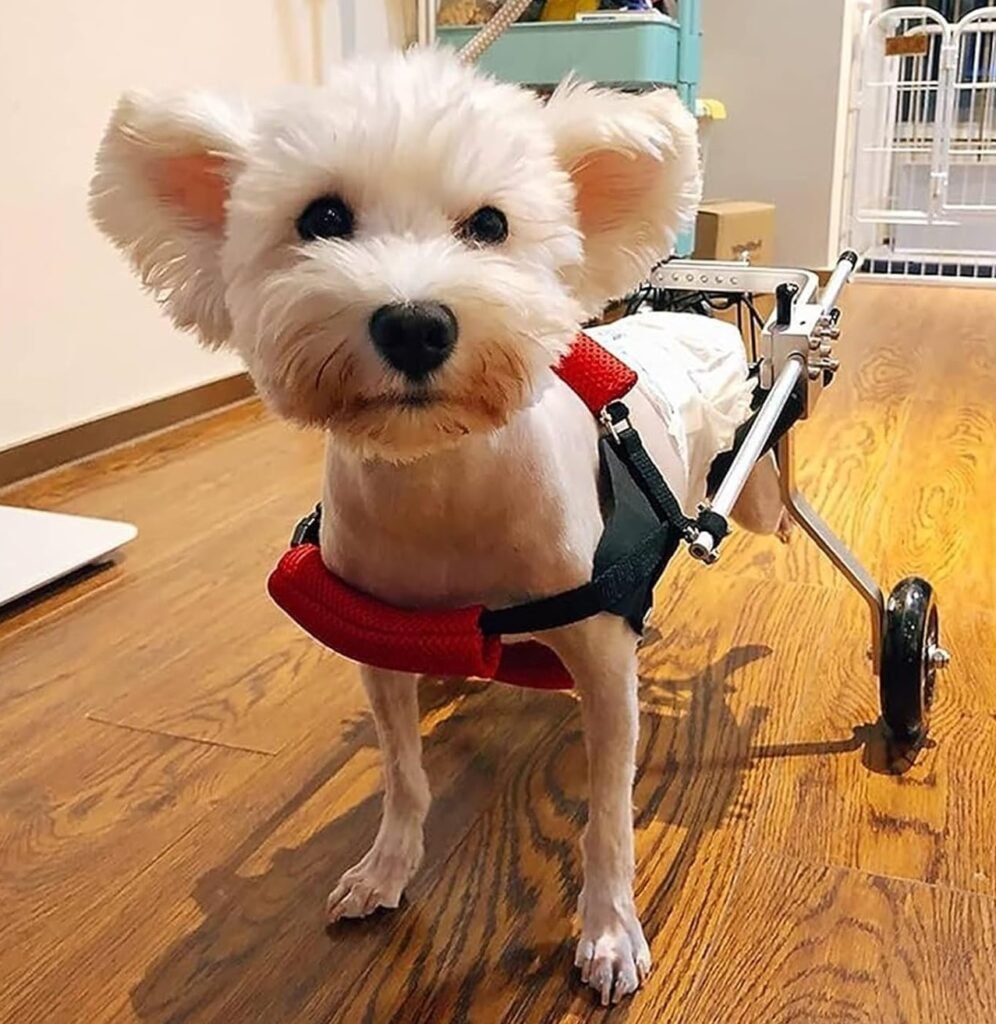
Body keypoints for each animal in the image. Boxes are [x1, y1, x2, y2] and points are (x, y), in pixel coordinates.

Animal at [93, 46, 790, 999]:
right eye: (322, 218)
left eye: (490, 225)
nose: (416, 324)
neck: (440, 480)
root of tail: (680, 314)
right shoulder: (381, 646)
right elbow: (402, 774)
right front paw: (386, 868)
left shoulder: (602, 665)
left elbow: (609, 812)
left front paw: (610, 930)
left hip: (748, 483)